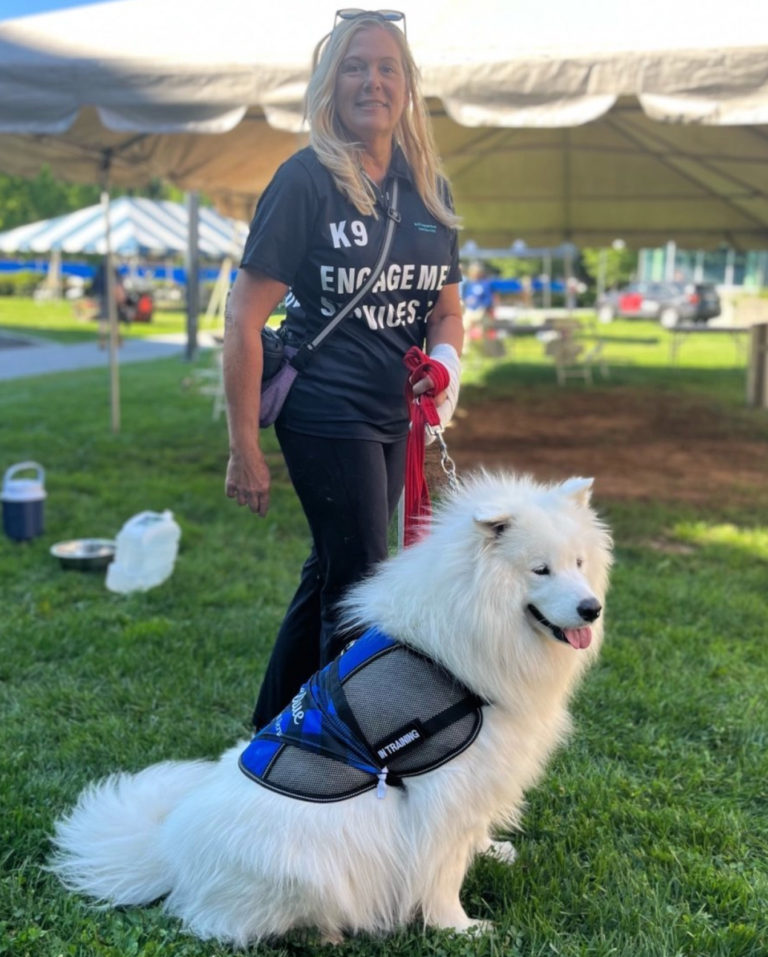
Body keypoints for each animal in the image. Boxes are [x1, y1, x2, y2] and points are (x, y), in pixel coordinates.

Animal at [51, 470, 612, 940]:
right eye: (539, 570)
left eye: (579, 563)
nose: (592, 608)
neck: (468, 635)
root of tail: (169, 853)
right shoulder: (443, 790)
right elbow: (442, 869)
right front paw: (461, 928)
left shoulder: (484, 777)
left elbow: (471, 836)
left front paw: (493, 853)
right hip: (305, 866)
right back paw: (322, 933)